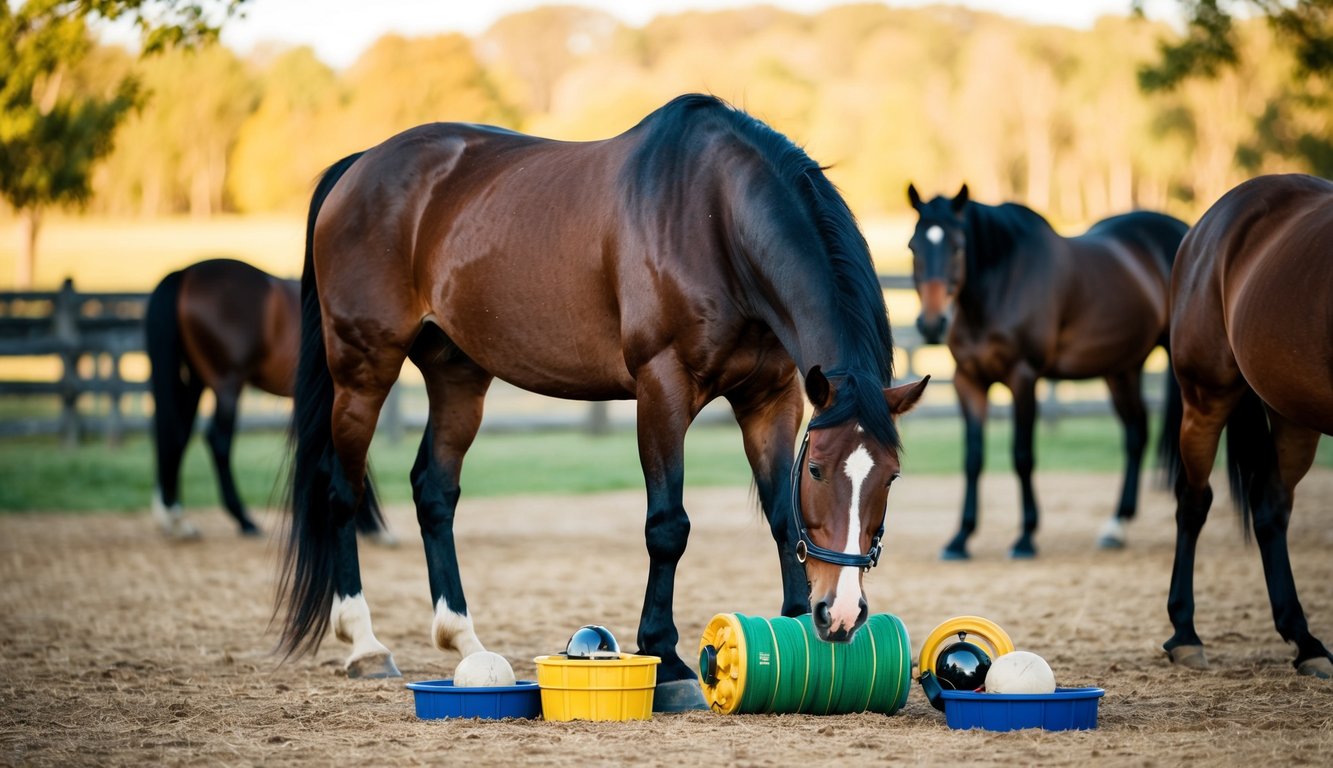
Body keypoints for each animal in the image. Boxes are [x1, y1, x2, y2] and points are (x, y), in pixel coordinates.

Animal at [145, 261, 389, 544]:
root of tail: (186, 273)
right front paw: (370, 525)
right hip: (227, 385)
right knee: (217, 441)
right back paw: (243, 519)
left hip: (196, 382)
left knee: (176, 436)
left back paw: (176, 519)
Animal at [275, 93, 927, 709]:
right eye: (817, 469)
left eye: (891, 477)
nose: (840, 613)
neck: (715, 220)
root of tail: (360, 165)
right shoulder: (661, 387)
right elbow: (668, 526)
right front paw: (668, 658)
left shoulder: (771, 398)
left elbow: (780, 516)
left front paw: (793, 628)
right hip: (364, 369)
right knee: (341, 490)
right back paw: (365, 644)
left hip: (458, 374)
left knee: (434, 491)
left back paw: (465, 640)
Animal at [906, 184, 1189, 557]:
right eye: (913, 246)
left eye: (957, 246)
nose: (932, 324)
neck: (1001, 285)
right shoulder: (968, 381)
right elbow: (972, 458)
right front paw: (961, 538)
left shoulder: (1023, 378)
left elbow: (1023, 455)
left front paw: (1026, 536)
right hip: (1122, 369)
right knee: (1136, 434)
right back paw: (1116, 526)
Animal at [1157, 173, 1333, 677]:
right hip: (1206, 399)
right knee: (1194, 501)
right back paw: (1185, 635)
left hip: (1294, 412)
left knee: (1271, 506)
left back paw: (1306, 641)